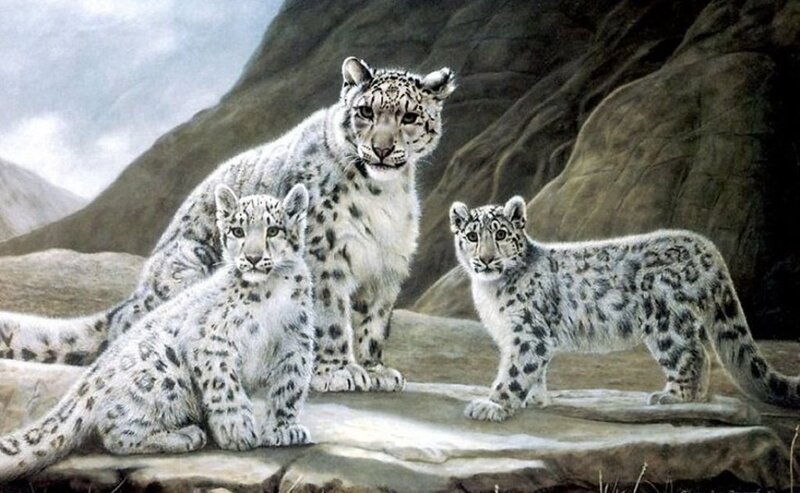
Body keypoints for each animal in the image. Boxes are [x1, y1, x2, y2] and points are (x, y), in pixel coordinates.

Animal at [0, 57, 456, 393]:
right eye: (365, 111)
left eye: (410, 117)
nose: (381, 149)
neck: (384, 194)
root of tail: (133, 299)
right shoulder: (325, 258)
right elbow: (330, 318)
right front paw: (338, 371)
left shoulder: (385, 267)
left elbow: (373, 324)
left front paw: (376, 370)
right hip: (191, 266)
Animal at [0, 185, 314, 479]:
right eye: (238, 230)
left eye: (273, 230)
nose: (252, 257)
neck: (272, 290)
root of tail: (89, 380)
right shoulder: (212, 342)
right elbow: (225, 386)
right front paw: (237, 430)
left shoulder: (296, 344)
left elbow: (289, 387)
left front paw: (283, 430)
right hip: (165, 370)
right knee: (116, 432)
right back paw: (185, 435)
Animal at [449, 195, 800, 422]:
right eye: (472, 235)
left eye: (501, 233)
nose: (486, 259)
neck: (490, 291)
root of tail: (705, 245)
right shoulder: (521, 335)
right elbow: (536, 370)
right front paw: (535, 400)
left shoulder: (529, 333)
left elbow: (515, 370)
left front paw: (492, 405)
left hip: (666, 321)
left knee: (693, 353)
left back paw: (673, 397)